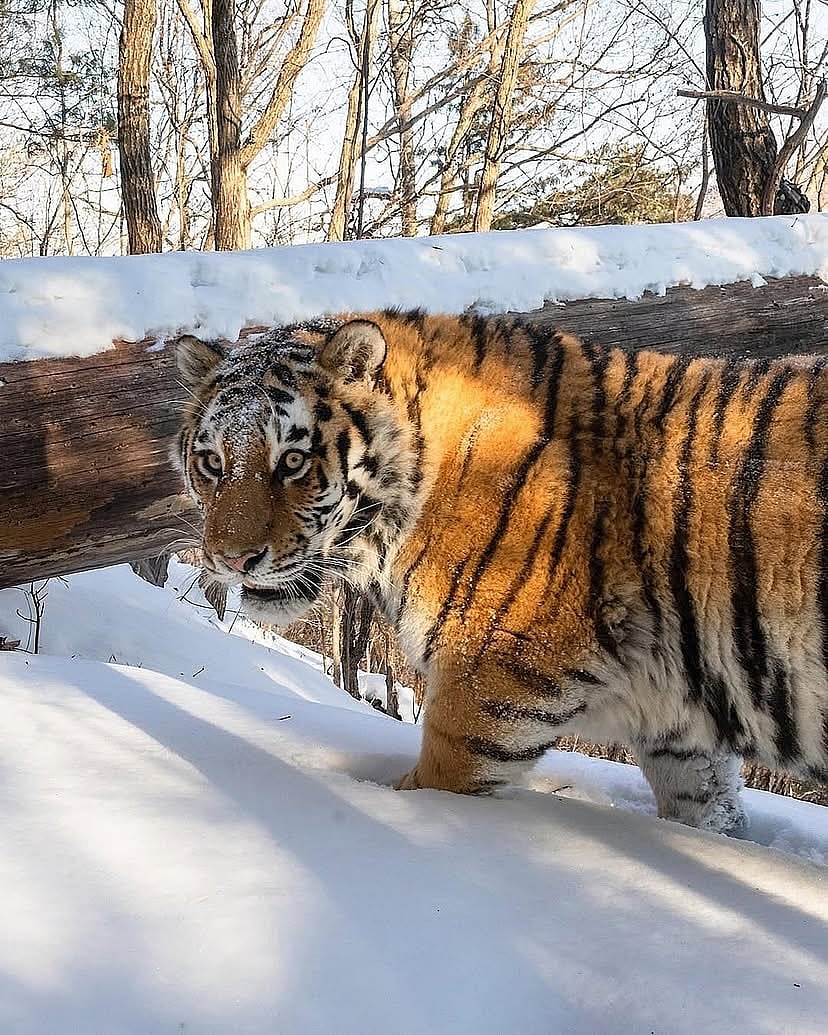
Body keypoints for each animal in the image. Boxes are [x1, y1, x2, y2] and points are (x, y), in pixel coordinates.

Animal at [173, 309, 828, 834]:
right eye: (211, 462)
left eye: (292, 461)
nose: (229, 558)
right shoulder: (680, 729)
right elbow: (708, 807)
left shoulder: (486, 693)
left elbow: (435, 786)